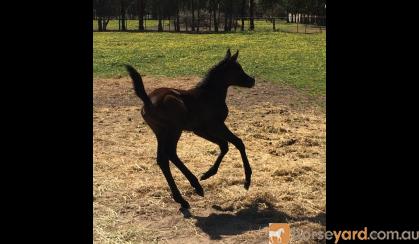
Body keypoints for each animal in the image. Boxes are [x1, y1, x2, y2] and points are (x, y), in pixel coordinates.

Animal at [125, 48, 256, 209]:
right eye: (237, 69)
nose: (252, 80)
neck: (209, 96)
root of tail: (148, 100)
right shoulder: (216, 125)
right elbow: (238, 143)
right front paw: (247, 180)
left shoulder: (200, 130)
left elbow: (224, 145)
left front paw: (208, 174)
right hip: (174, 129)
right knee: (170, 153)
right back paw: (195, 187)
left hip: (160, 132)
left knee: (163, 159)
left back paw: (182, 197)